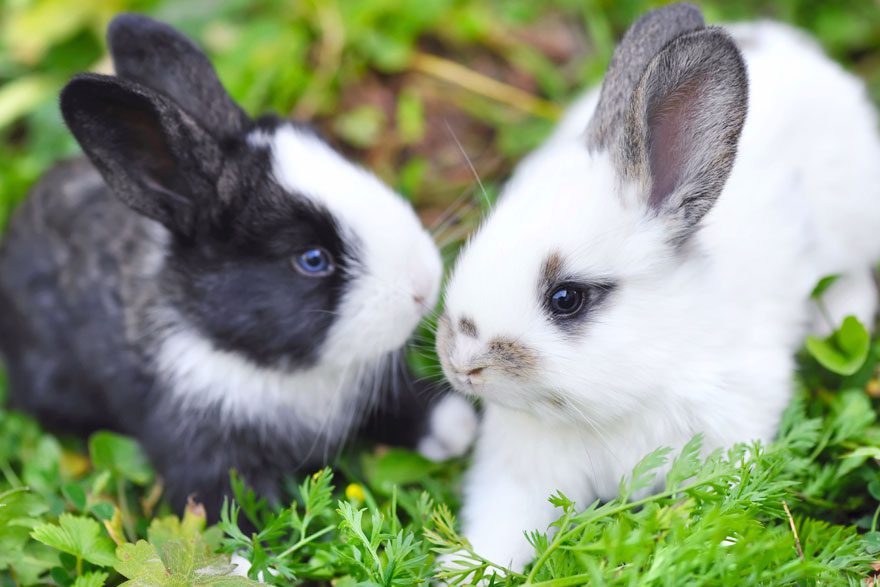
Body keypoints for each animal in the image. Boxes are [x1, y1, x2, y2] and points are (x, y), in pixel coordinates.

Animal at [0, 13, 477, 519]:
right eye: (312, 259)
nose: (424, 285)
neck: (259, 362)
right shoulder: (202, 449)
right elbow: (230, 513)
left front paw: (456, 426)